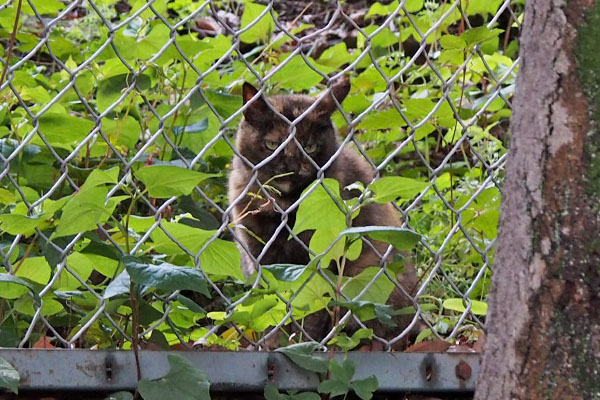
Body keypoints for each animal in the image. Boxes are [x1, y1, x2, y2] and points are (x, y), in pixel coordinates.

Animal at [227, 77, 420, 346]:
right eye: (272, 145)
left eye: (309, 146)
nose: (292, 167)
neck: (284, 206)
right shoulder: (259, 256)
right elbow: (272, 308)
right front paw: (276, 343)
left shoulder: (319, 264)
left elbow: (312, 312)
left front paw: (302, 342)